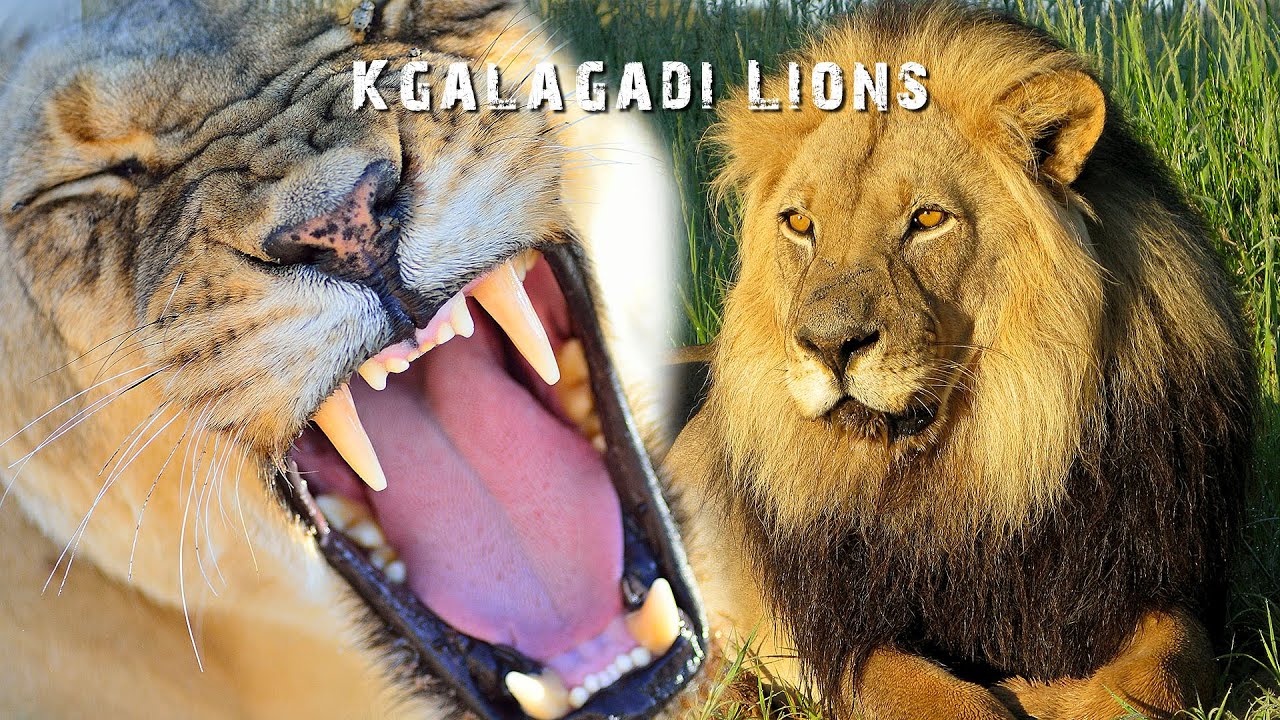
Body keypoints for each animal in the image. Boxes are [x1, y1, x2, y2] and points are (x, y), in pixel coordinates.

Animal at [669, 3, 1257, 719]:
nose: (829, 346)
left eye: (928, 219)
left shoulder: (1153, 585)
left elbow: (1166, 666)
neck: (977, 466)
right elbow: (934, 696)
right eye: (800, 225)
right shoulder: (843, 634)